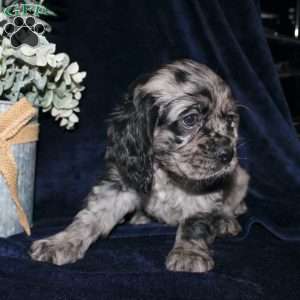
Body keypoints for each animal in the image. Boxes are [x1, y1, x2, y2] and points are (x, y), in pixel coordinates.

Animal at [31, 59, 251, 274]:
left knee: (232, 204)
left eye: (231, 120)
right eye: (190, 119)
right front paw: (60, 242)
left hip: (240, 178)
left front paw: (189, 253)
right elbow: (89, 217)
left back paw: (225, 220)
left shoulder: (203, 193)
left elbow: (194, 223)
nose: (227, 155)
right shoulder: (120, 184)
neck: (165, 170)